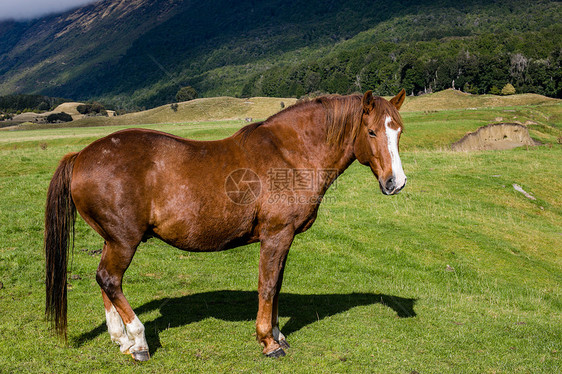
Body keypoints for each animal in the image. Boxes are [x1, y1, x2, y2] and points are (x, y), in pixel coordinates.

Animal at [42, 89, 402, 360]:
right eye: (371, 131)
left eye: (398, 131)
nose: (395, 183)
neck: (289, 155)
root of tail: (82, 155)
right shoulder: (276, 236)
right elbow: (267, 286)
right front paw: (268, 342)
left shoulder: (283, 239)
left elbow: (277, 286)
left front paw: (278, 334)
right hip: (124, 241)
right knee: (110, 279)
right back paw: (139, 341)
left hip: (112, 239)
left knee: (105, 281)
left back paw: (122, 340)